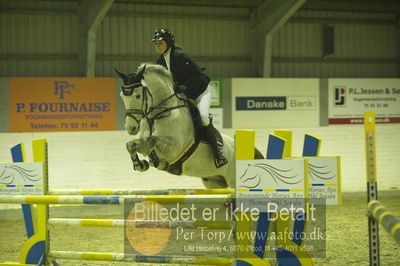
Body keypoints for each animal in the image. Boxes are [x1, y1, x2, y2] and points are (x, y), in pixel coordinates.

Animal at [115, 63, 264, 189]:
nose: (130, 128)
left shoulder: (174, 148)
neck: (158, 114)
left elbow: (152, 140)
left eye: (138, 96)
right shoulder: (143, 141)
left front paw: (156, 161)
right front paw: (140, 165)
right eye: (122, 96)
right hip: (214, 182)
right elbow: (131, 145)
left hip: (233, 181)